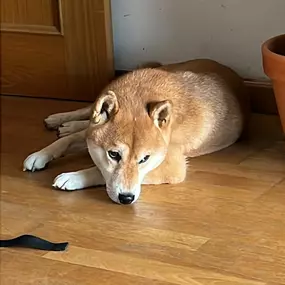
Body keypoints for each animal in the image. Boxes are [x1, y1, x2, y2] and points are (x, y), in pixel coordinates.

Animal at [22, 58, 248, 203]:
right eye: (113, 154)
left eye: (144, 159)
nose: (127, 198)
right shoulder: (93, 134)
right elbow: (66, 142)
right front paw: (40, 155)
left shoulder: (173, 167)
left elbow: (98, 171)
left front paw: (73, 177)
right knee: (86, 112)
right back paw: (61, 120)